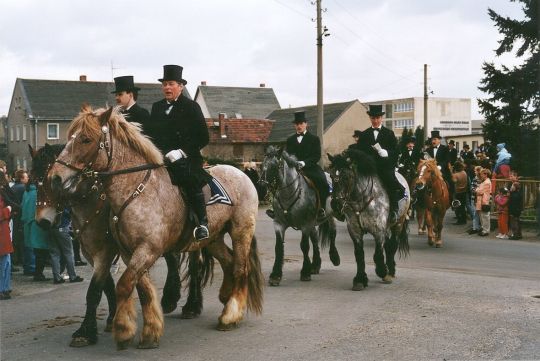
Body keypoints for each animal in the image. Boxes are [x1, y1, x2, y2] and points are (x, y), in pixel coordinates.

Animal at [29, 141, 211, 346]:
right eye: (33, 180)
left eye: (52, 182)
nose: (43, 221)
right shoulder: (93, 254)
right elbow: (106, 285)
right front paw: (111, 318)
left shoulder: (105, 252)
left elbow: (95, 290)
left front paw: (87, 331)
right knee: (173, 260)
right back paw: (172, 298)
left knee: (194, 268)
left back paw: (191, 306)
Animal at [260, 145, 340, 286]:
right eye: (262, 165)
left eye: (274, 167)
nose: (261, 185)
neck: (288, 194)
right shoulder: (279, 224)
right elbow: (278, 247)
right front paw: (275, 275)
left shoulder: (305, 224)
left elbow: (304, 246)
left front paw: (305, 272)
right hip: (313, 222)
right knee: (315, 238)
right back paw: (316, 265)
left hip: (329, 216)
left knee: (332, 232)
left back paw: (334, 257)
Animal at [330, 148, 410, 290]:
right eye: (331, 176)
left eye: (346, 177)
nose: (335, 205)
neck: (361, 200)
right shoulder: (355, 230)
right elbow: (359, 254)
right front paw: (360, 280)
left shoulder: (378, 230)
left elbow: (377, 254)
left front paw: (382, 271)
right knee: (388, 245)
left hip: (398, 223)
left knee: (392, 245)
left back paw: (390, 272)